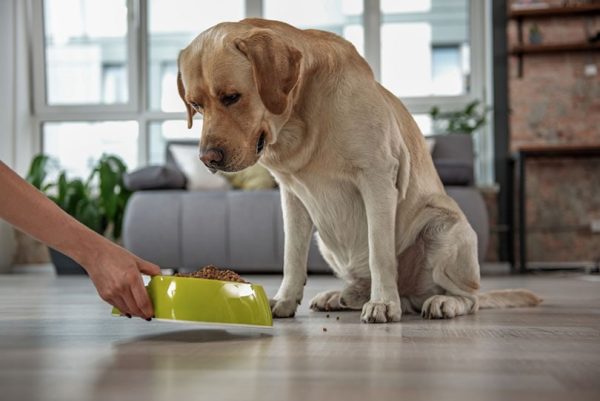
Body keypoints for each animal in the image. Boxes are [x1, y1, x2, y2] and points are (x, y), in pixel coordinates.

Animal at [177, 20, 540, 324]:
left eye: (232, 97)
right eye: (195, 105)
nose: (207, 159)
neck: (300, 121)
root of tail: (411, 294)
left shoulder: (377, 180)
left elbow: (381, 253)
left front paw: (384, 304)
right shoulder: (292, 196)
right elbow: (291, 256)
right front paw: (284, 300)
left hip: (445, 227)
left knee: (470, 297)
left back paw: (439, 302)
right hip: (325, 239)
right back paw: (340, 296)